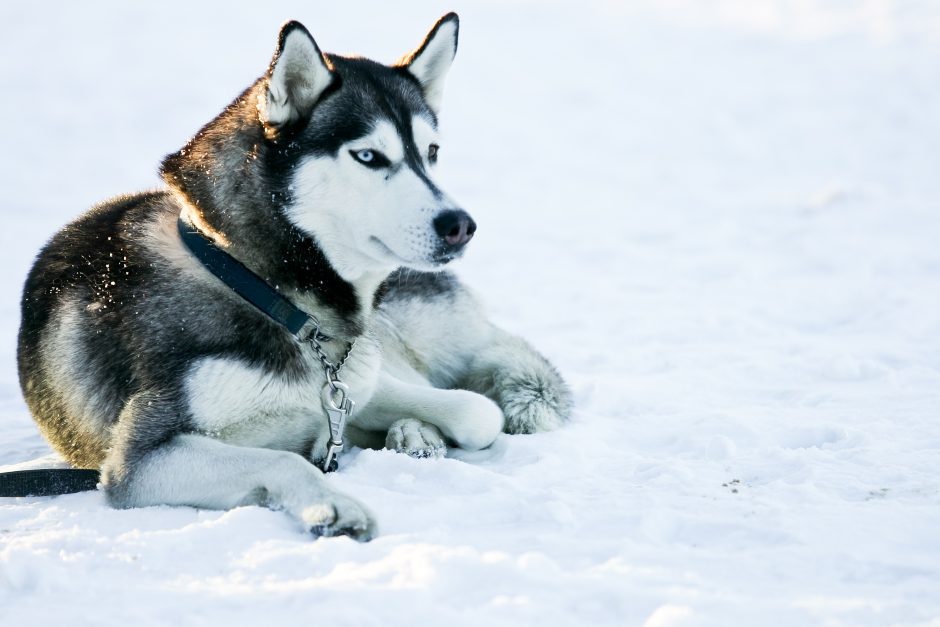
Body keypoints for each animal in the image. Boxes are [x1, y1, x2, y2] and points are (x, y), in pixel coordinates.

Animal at [18, 13, 568, 540]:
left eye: (431, 153)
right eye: (369, 156)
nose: (461, 225)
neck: (265, 289)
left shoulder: (352, 388)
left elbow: (477, 413)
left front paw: (412, 431)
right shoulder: (141, 458)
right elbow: (285, 458)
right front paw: (337, 505)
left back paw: (413, 434)